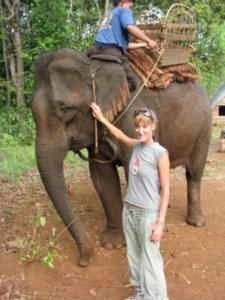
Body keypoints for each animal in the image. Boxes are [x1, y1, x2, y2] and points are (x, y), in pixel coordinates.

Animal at [30, 48, 212, 266]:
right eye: (30, 108)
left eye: (65, 109)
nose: (84, 260)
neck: (93, 66)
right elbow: (102, 176)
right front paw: (112, 245)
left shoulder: (132, 119)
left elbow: (130, 171)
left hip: (204, 127)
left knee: (194, 172)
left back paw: (196, 222)